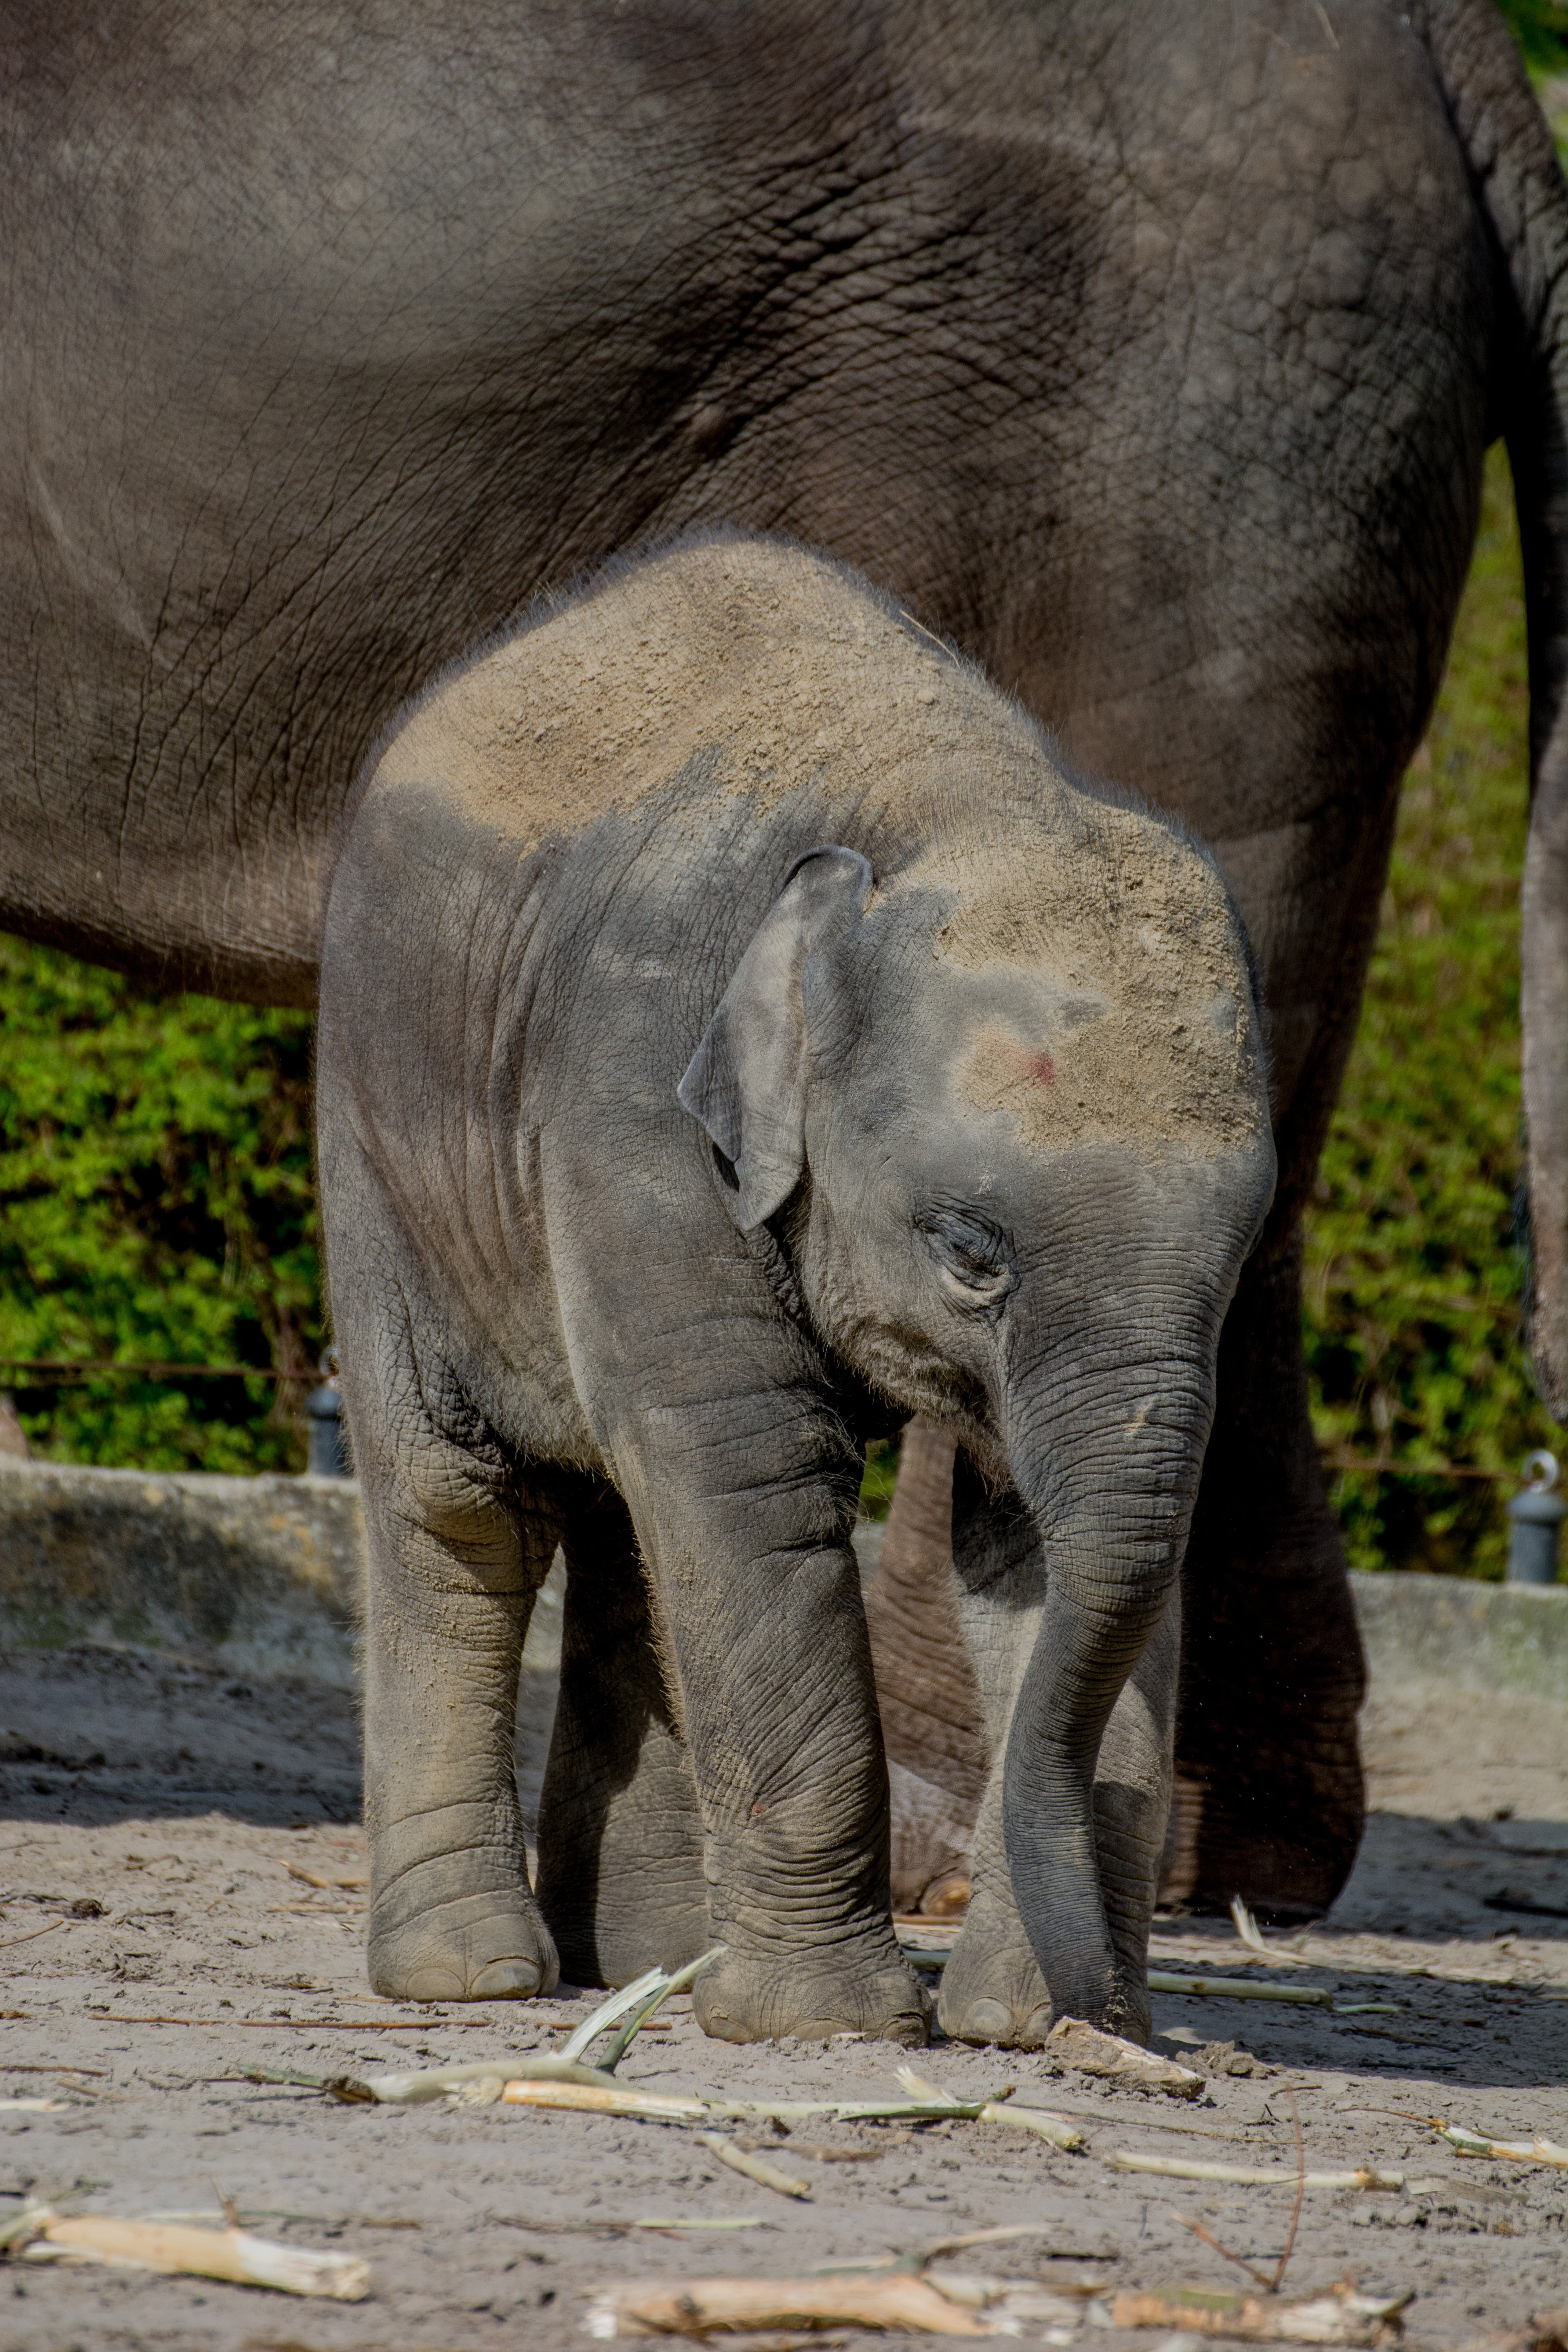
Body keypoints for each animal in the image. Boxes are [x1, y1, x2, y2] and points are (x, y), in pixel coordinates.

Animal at [315, 534, 1275, 2045]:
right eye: (969, 1252)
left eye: (1244, 1256)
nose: (1101, 2020)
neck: (952, 797)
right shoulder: (636, 1097)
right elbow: (755, 1475)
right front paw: (831, 2027)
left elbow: (1037, 1539)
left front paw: (1015, 2021)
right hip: (378, 1119)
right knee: (466, 1506)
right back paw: (475, 1977)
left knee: (633, 1529)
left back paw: (648, 1959)